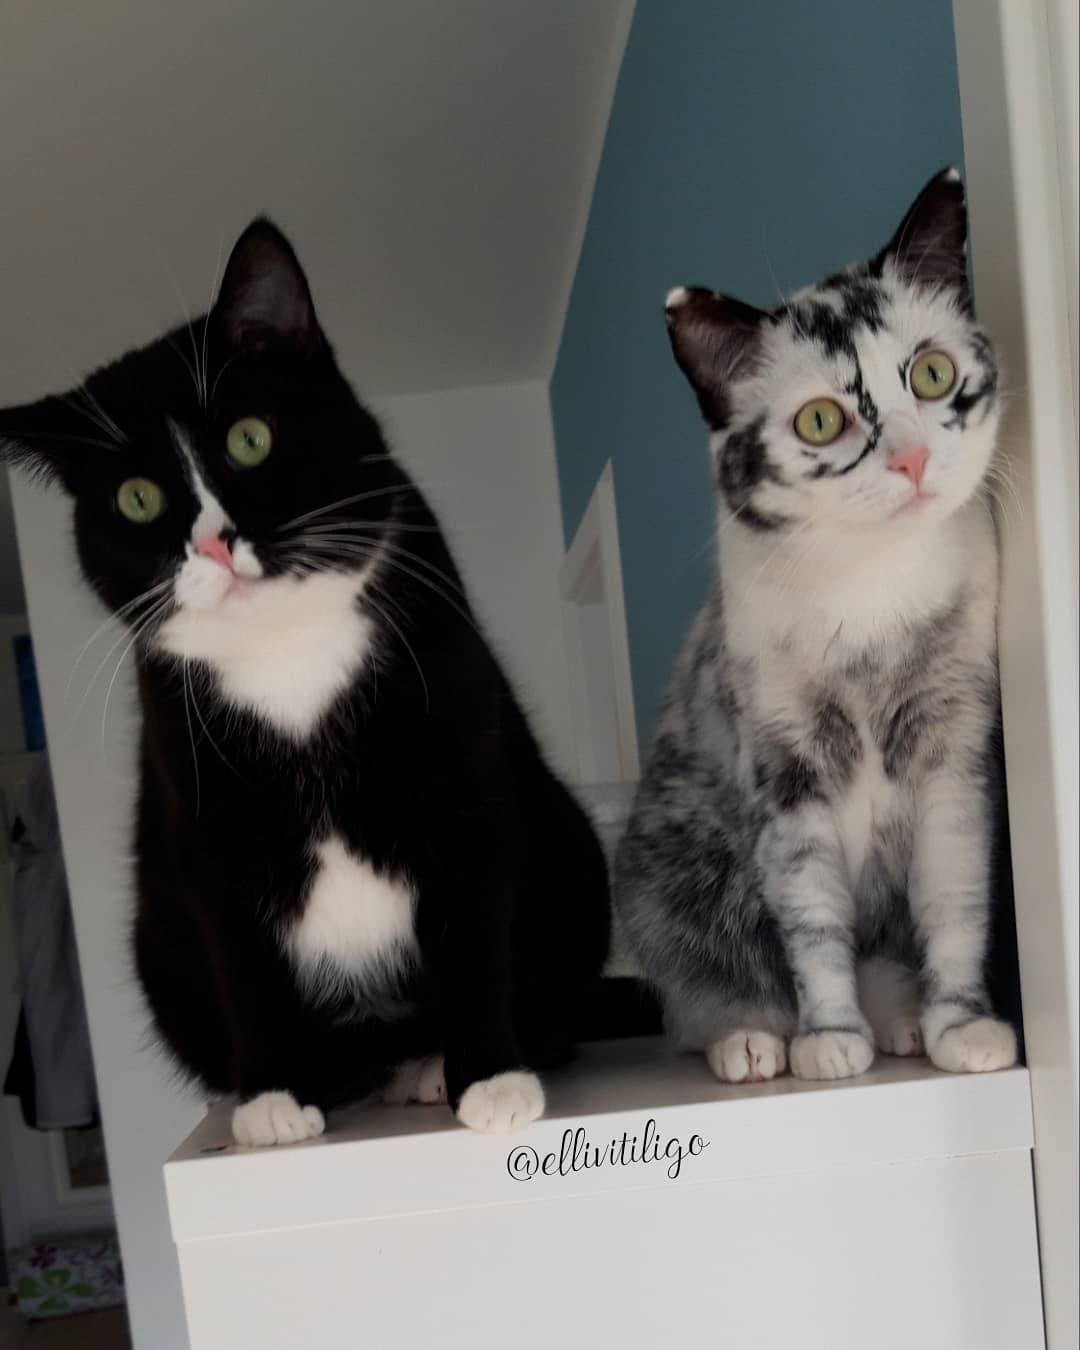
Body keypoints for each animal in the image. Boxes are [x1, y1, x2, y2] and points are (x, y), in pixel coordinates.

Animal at [0, 220, 611, 1142]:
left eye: (250, 439)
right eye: (137, 499)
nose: (214, 544)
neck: (285, 652)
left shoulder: (462, 772)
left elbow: (474, 922)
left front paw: (491, 1077)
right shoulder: (202, 816)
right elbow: (243, 964)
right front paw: (276, 1096)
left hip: (572, 852)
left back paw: (430, 1065)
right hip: (157, 945)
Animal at [614, 168, 1019, 1085]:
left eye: (933, 373)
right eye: (822, 421)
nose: (910, 458)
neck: (873, 596)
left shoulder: (955, 757)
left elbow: (955, 904)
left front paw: (961, 1027)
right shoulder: (786, 775)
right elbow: (814, 925)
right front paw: (830, 1037)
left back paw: (899, 1022)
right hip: (668, 879)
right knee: (706, 994)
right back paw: (752, 1040)